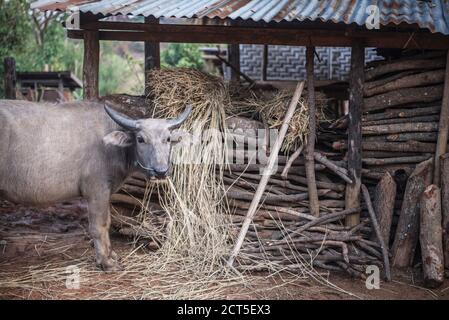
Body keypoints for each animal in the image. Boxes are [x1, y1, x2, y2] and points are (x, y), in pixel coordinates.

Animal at [0, 100, 191, 270]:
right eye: (140, 139)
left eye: (168, 139)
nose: (161, 171)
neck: (111, 147)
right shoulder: (96, 191)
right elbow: (99, 226)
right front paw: (106, 262)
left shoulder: (106, 192)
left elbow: (108, 221)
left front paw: (111, 254)